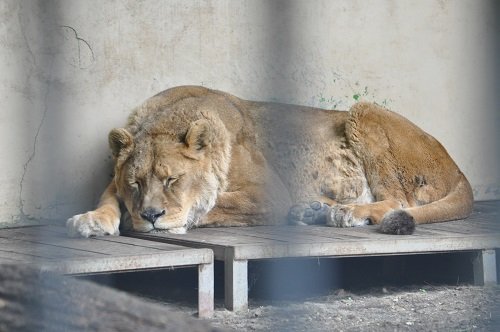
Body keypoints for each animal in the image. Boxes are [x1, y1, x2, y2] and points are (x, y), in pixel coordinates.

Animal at [66, 85, 472, 236]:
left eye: (172, 180)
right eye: (135, 183)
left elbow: (214, 205)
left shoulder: (270, 193)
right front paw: (92, 219)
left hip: (365, 111)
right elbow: (107, 197)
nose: (151, 215)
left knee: (399, 201)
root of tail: (459, 170)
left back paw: (345, 213)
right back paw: (314, 211)